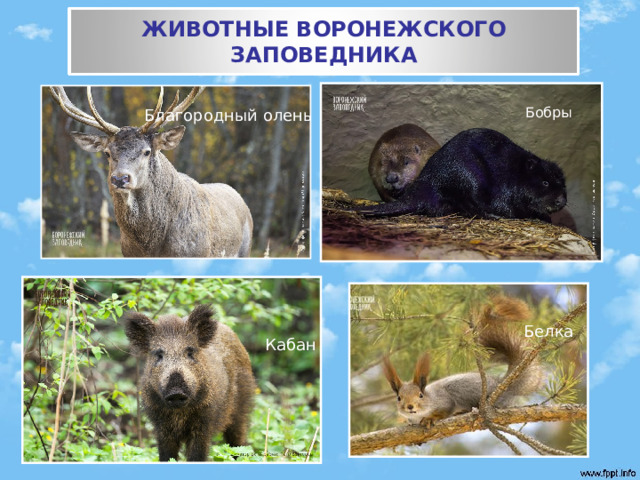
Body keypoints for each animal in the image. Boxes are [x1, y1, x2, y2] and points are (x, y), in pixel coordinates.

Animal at [382, 296, 543, 427]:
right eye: (398, 398)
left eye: (420, 395)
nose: (410, 406)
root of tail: (501, 384)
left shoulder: (444, 400)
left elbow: (444, 410)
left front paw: (430, 418)